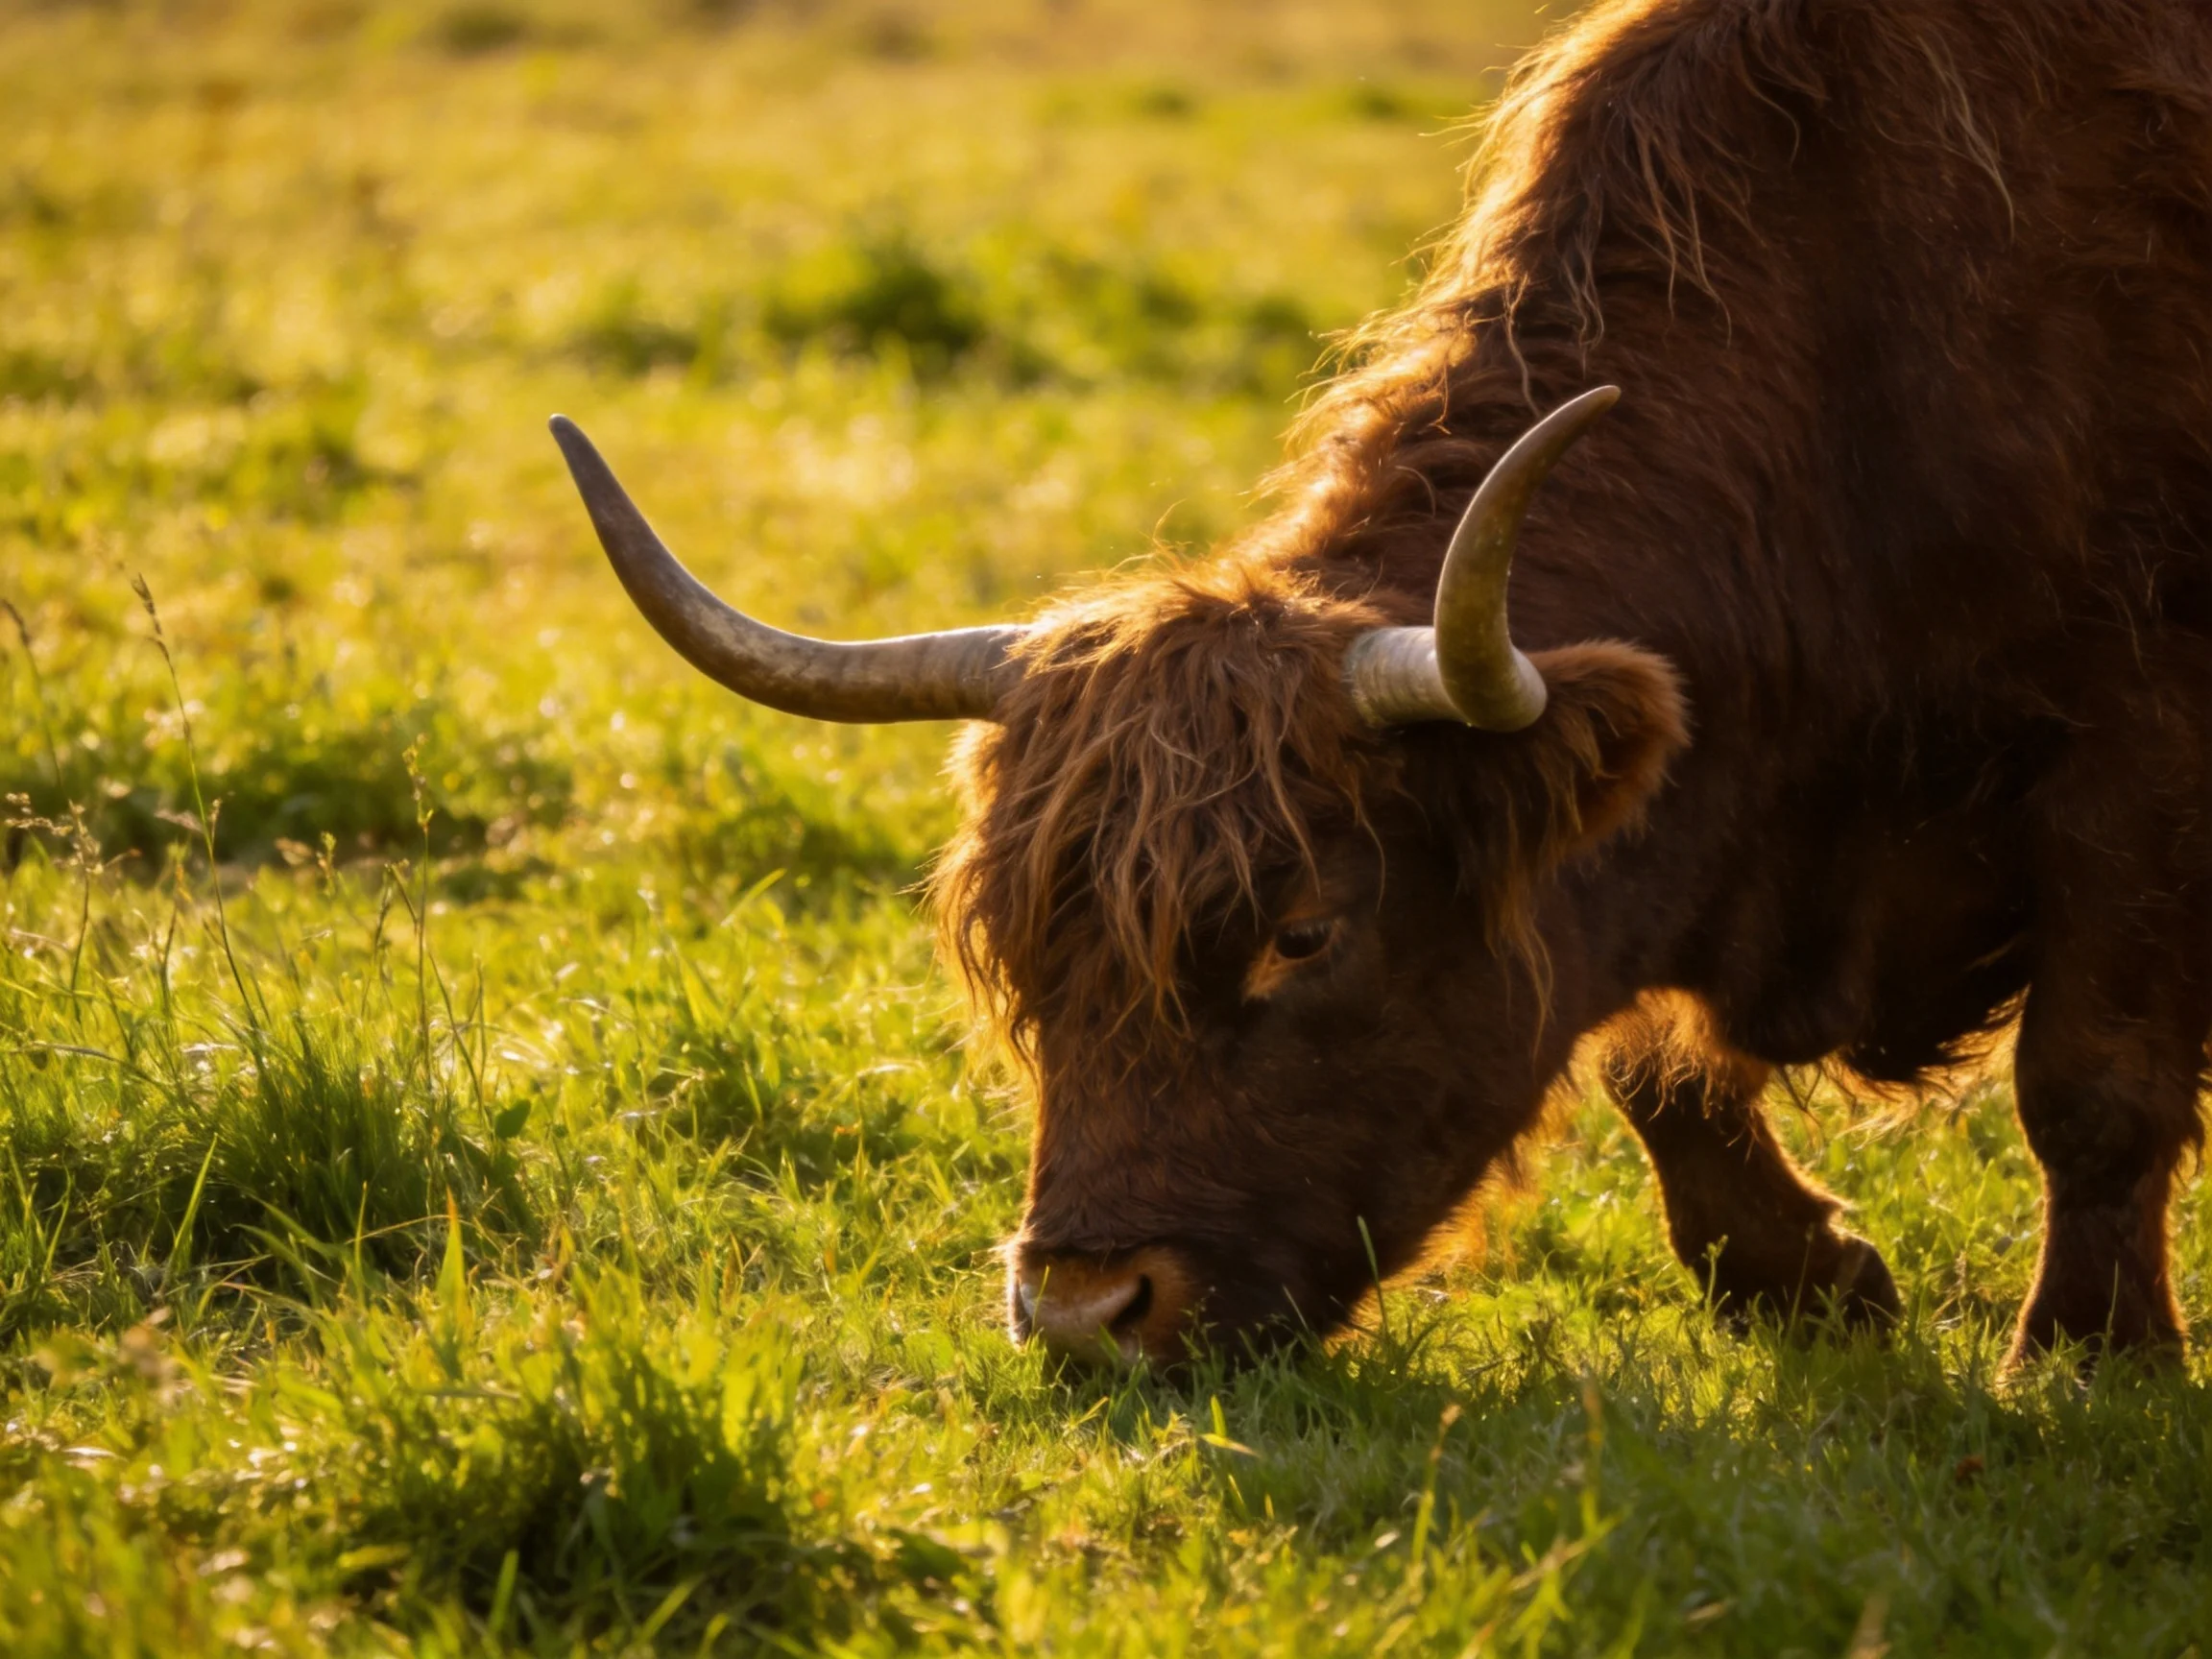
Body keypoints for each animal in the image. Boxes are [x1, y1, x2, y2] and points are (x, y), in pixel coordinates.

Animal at [550, 0, 2212, 1369]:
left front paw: (2090, 1355)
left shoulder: (2140, 752)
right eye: (1021, 955)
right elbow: (1652, 1065)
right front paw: (1801, 1275)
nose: (1086, 1312)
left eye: (1303, 934)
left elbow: (2090, 1079)